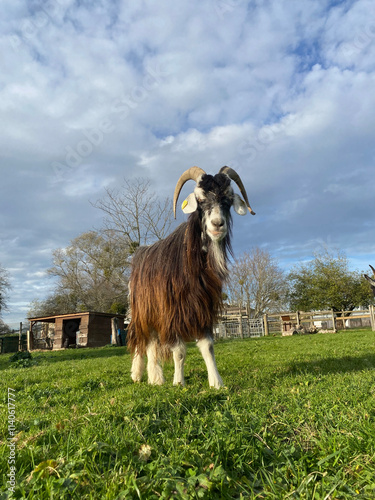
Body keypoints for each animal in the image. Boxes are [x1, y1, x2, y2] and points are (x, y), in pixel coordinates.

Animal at [127, 166, 256, 388]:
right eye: (200, 199)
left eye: (228, 199)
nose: (217, 224)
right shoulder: (172, 311)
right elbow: (179, 351)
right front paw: (179, 382)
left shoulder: (203, 308)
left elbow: (208, 347)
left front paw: (216, 382)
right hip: (142, 311)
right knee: (142, 341)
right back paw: (141, 374)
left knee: (152, 344)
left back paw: (155, 378)